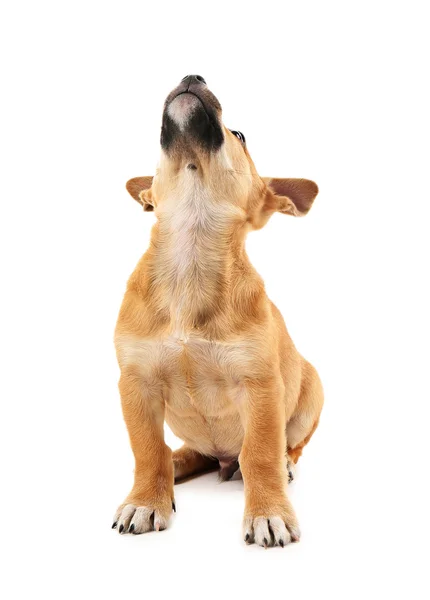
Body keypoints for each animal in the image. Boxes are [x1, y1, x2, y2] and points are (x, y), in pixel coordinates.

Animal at [112, 75, 324, 548]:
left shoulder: (259, 387)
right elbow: (146, 449)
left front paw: (268, 511)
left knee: (282, 449)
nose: (193, 76)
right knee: (182, 452)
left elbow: (260, 453)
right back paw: (175, 465)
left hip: (311, 394)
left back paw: (282, 465)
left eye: (240, 135)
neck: (189, 259)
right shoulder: (137, 384)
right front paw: (146, 499)